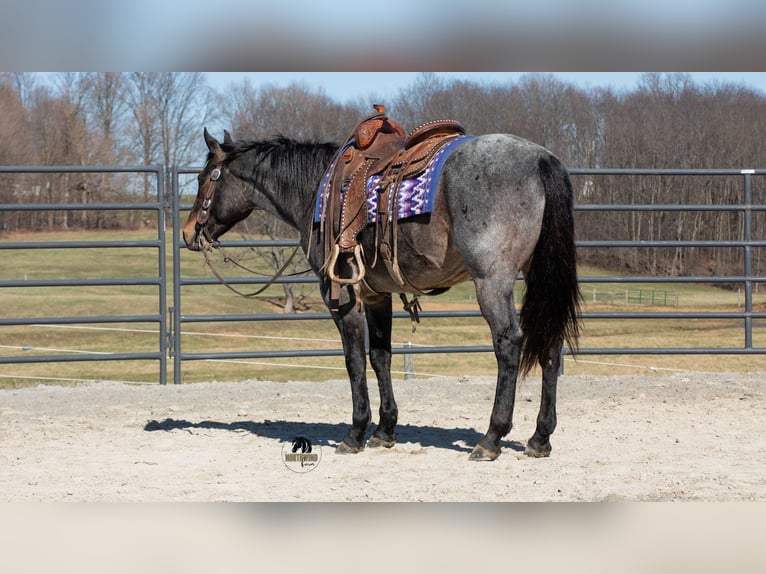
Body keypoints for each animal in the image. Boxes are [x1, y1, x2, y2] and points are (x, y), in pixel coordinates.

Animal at [182, 125, 581, 461]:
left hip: (491, 281)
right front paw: (385, 431)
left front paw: (355, 433)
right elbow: (380, 357)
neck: (316, 191)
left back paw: (491, 439)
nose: (188, 233)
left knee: (509, 344)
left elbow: (354, 362)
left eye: (203, 179)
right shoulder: (378, 296)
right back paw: (539, 438)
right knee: (549, 344)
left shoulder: (343, 297)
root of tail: (541, 158)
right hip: (538, 276)